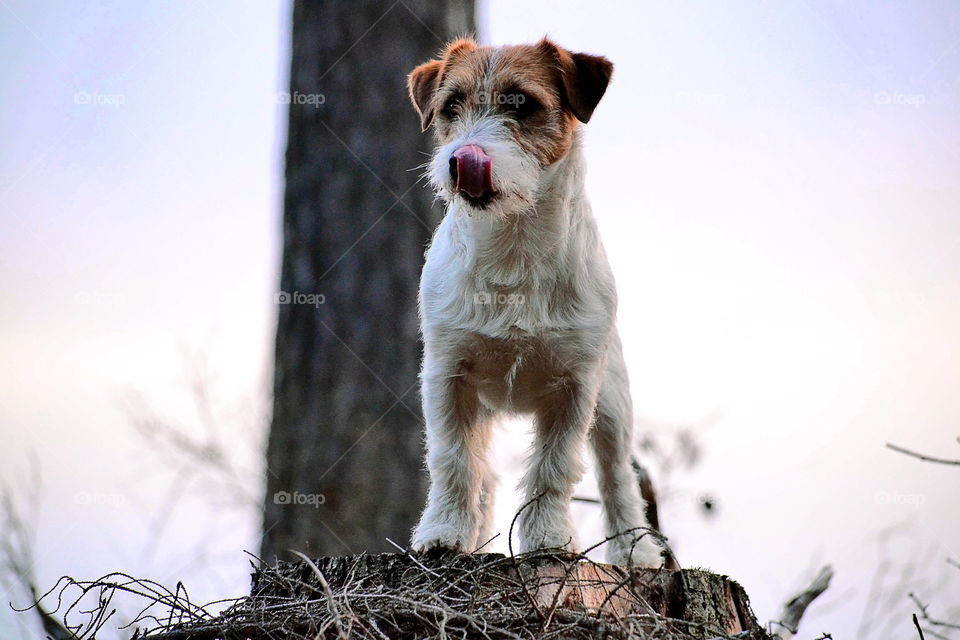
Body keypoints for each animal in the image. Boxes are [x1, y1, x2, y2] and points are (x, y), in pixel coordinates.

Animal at [404, 37, 668, 568]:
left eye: (522, 104)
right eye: (451, 107)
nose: (462, 159)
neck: (513, 247)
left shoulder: (575, 387)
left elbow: (554, 467)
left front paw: (548, 539)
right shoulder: (446, 376)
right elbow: (453, 460)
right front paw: (442, 534)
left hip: (612, 406)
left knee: (617, 478)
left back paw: (635, 553)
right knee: (484, 475)